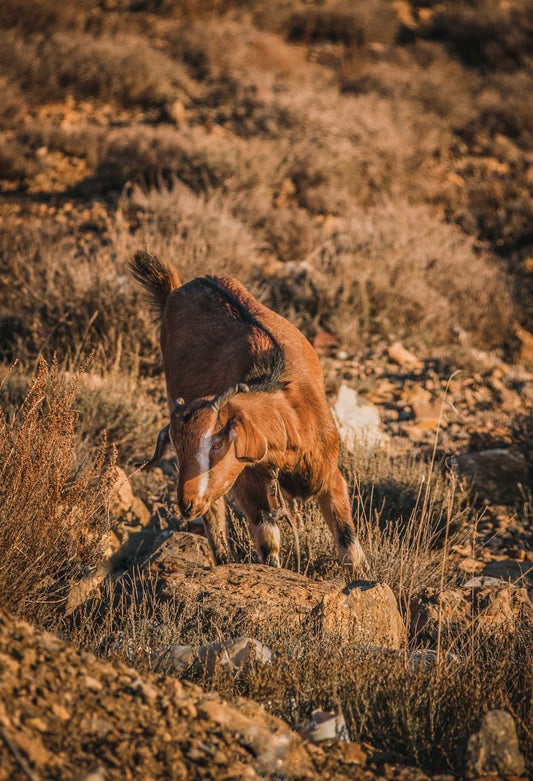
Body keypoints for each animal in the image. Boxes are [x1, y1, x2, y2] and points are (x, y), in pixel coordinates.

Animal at [129, 253, 366, 576]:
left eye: (217, 444)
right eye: (176, 449)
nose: (187, 504)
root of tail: (177, 288)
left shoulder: (330, 476)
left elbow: (349, 545)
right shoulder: (248, 484)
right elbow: (269, 544)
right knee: (215, 516)